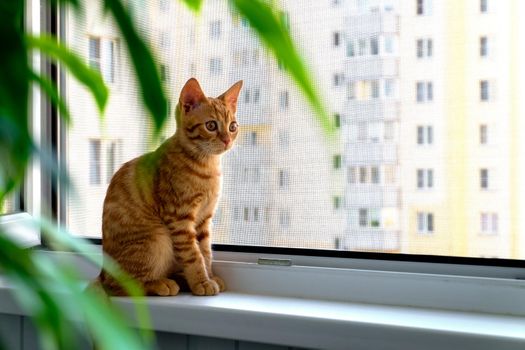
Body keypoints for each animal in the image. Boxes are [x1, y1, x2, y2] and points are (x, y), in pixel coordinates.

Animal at [94, 78, 242, 296]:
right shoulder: (179, 218)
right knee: (120, 286)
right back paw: (161, 284)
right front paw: (201, 281)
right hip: (158, 238)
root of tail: (102, 273)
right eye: (211, 125)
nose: (227, 140)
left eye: (233, 126)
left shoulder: (204, 220)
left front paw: (209, 276)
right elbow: (193, 254)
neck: (207, 166)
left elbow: (205, 251)